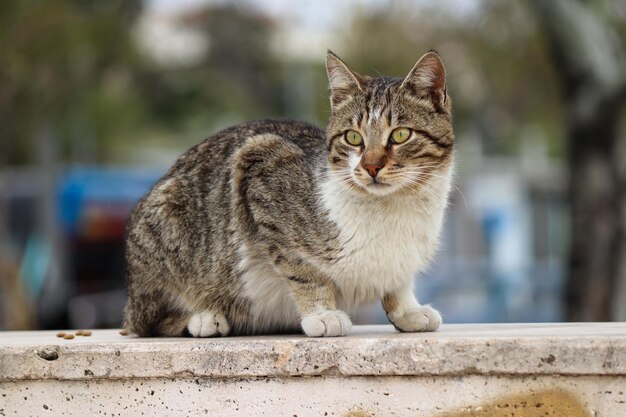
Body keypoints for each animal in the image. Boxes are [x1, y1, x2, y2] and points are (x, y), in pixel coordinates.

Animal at [122, 50, 454, 336]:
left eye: (400, 134)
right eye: (352, 138)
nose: (371, 167)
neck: (393, 207)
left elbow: (398, 280)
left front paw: (407, 310)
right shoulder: (259, 165)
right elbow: (302, 268)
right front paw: (321, 313)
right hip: (165, 225)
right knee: (148, 321)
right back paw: (203, 317)